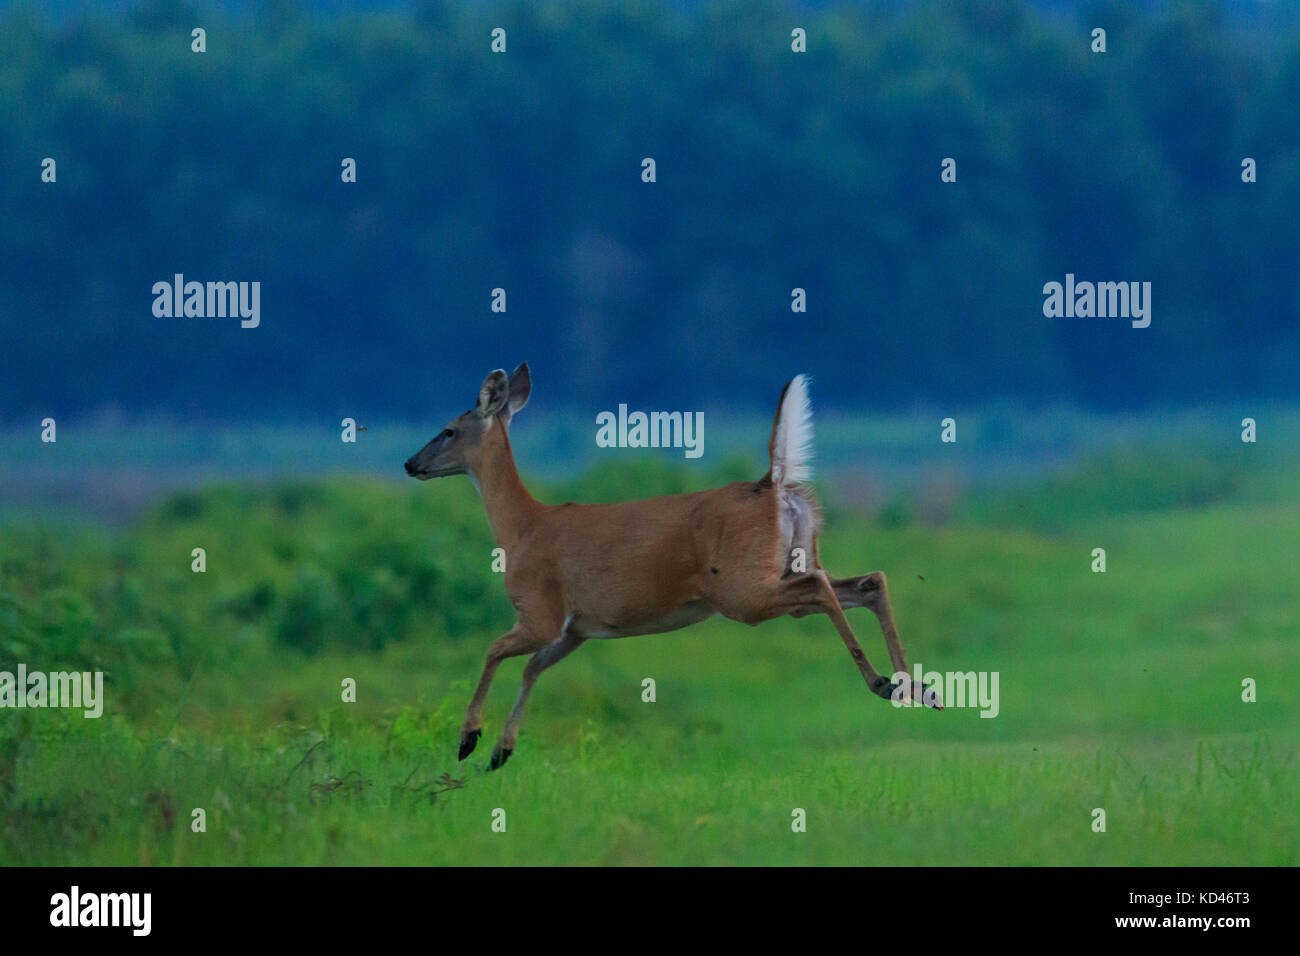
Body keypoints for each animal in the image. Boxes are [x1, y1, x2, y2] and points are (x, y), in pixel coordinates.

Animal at [400, 361, 941, 775]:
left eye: (448, 429)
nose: (409, 464)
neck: (521, 529)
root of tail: (772, 484)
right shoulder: (575, 629)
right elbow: (533, 668)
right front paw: (499, 752)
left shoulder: (540, 611)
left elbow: (493, 650)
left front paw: (469, 739)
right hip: (787, 564)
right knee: (867, 581)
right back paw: (917, 688)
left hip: (743, 590)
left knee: (822, 585)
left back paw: (882, 683)